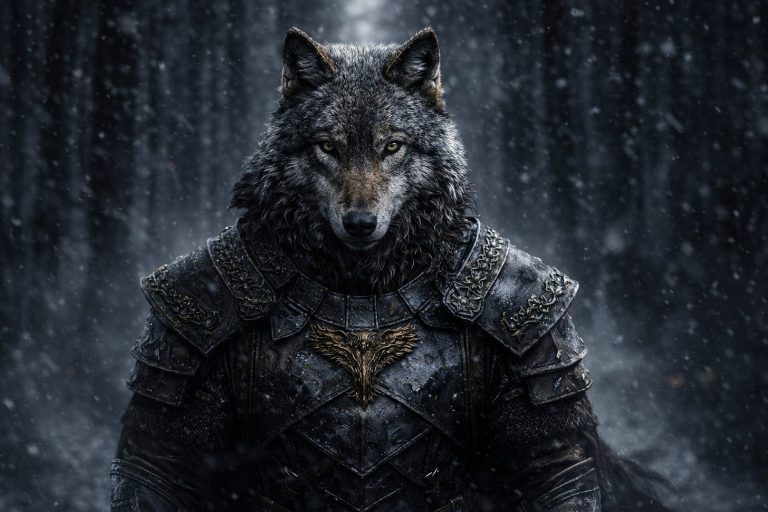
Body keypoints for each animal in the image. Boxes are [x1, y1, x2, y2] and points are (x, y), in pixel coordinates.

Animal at [110, 28, 675, 512]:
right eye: (328, 147)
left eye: (392, 146)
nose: (361, 223)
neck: (361, 285)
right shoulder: (194, 309)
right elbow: (157, 462)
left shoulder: (532, 327)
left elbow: (558, 465)